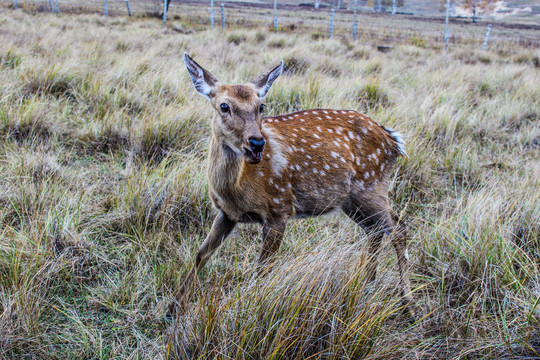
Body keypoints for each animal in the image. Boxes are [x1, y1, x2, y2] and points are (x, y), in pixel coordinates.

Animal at [170, 52, 414, 316]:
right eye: (224, 106)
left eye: (261, 106)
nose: (256, 143)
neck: (238, 190)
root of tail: (393, 141)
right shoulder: (226, 213)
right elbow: (201, 254)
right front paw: (173, 308)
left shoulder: (279, 209)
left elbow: (262, 270)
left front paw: (252, 309)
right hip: (351, 200)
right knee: (376, 230)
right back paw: (367, 282)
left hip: (371, 185)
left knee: (398, 228)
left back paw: (407, 302)